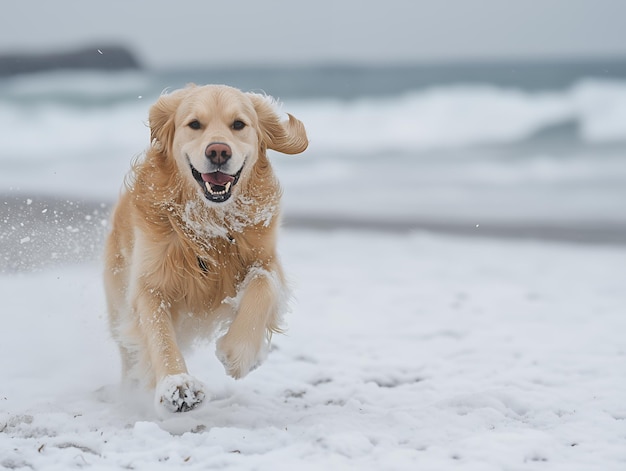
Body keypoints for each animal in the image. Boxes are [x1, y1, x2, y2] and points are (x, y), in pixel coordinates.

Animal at [104, 84, 308, 412]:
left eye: (238, 124)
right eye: (194, 124)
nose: (218, 151)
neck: (210, 224)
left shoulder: (265, 258)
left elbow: (263, 285)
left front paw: (236, 353)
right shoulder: (149, 284)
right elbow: (159, 334)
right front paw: (178, 386)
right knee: (130, 355)